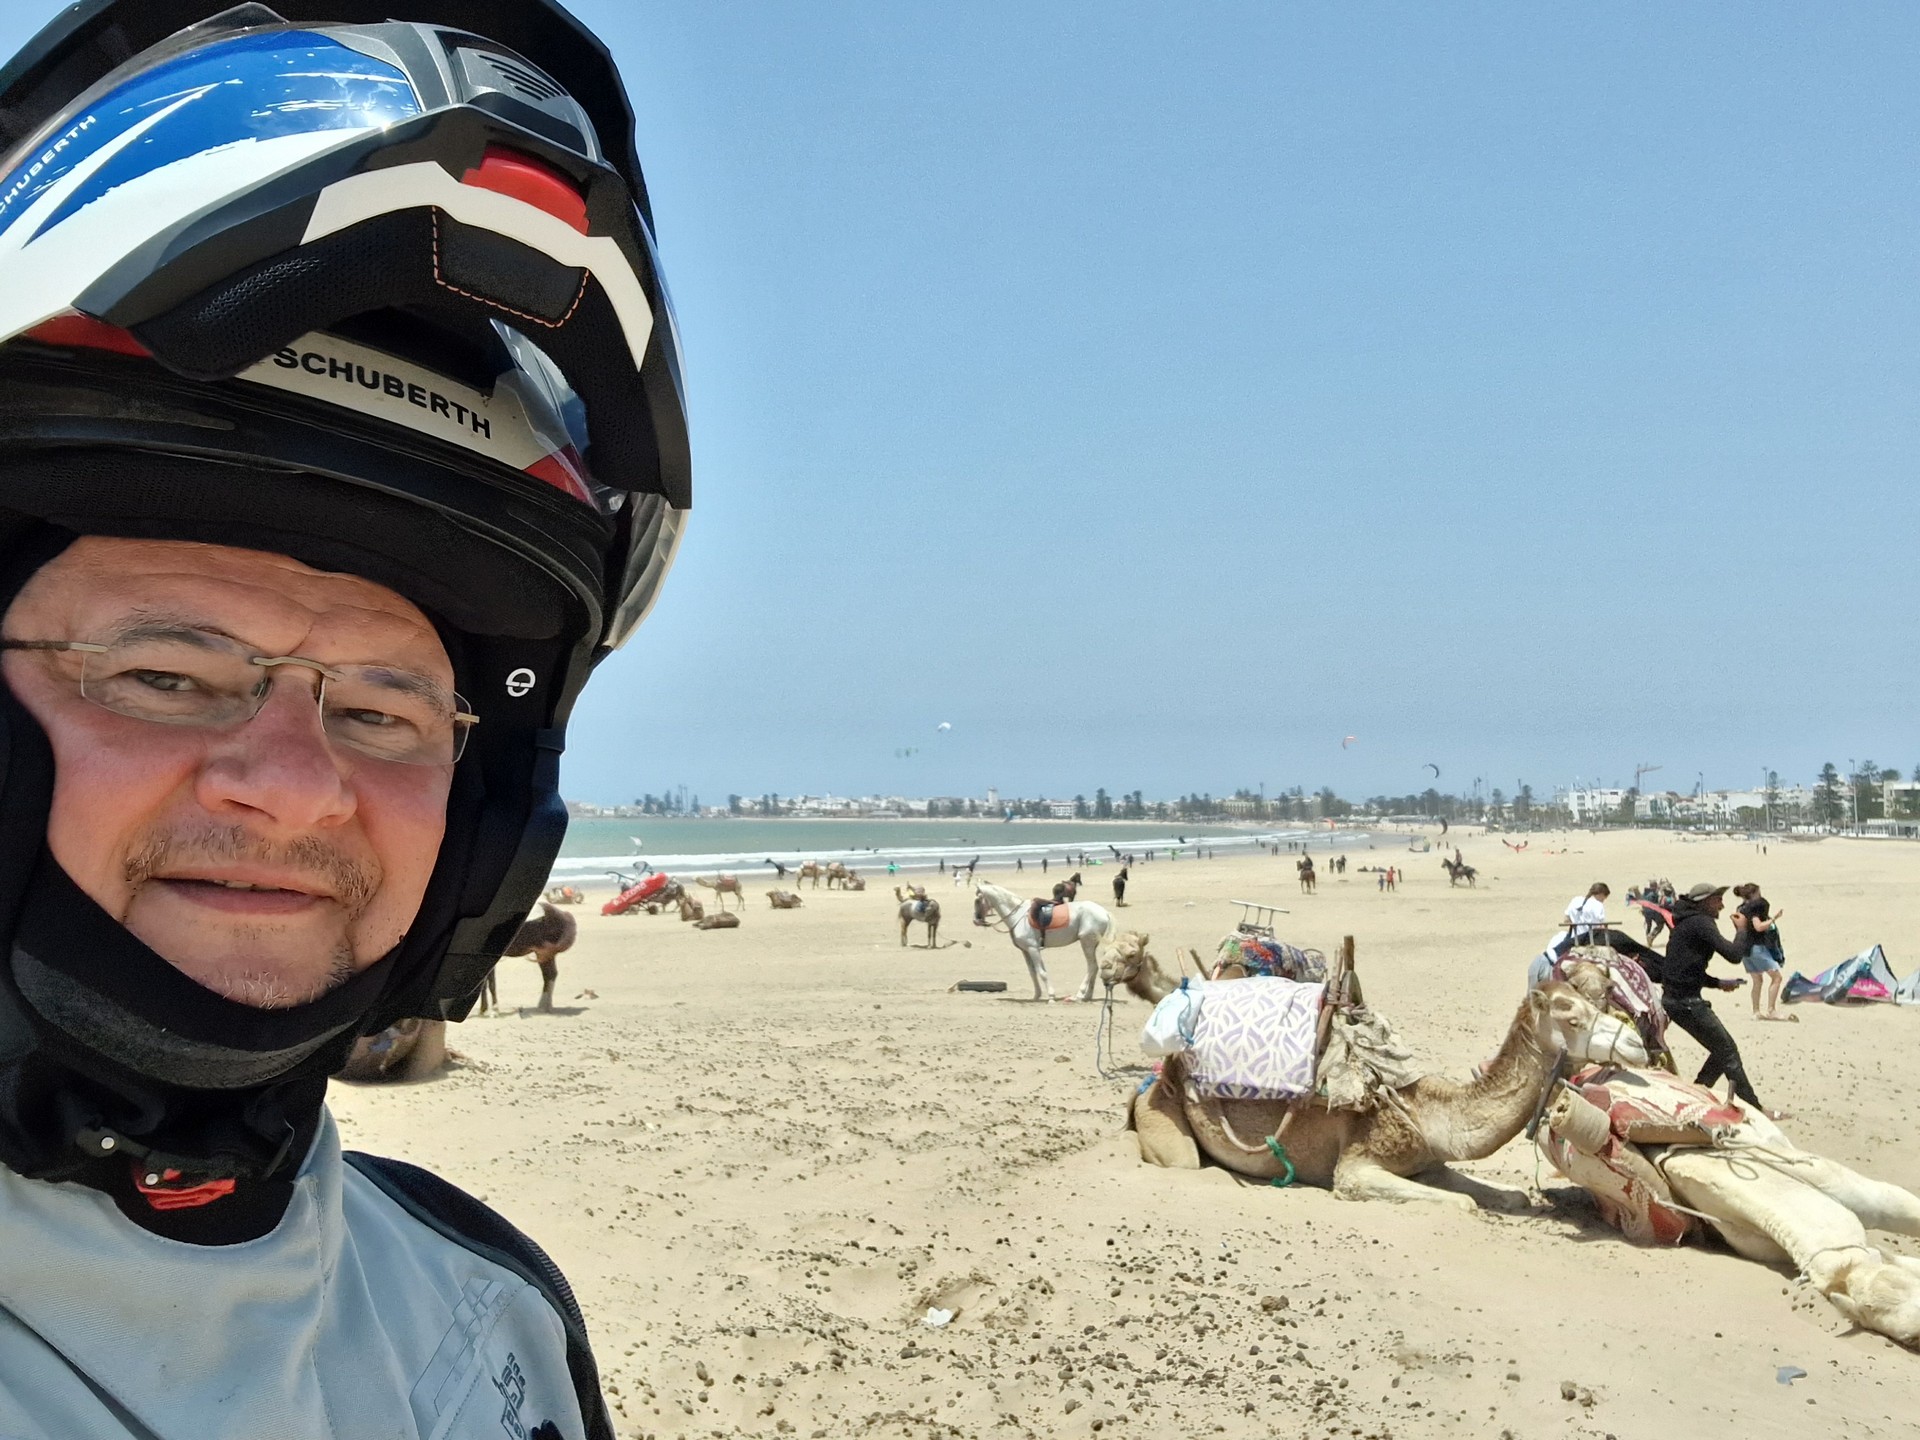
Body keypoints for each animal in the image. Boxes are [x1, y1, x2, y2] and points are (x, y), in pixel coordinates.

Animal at [972, 880, 1114, 1001]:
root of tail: (1104, 912)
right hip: (1091, 944)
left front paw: (1051, 996)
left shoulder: (1033, 949)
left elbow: (1041, 973)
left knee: (1092, 966)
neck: (1018, 915)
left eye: (978, 900)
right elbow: (1033, 972)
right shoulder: (1026, 950)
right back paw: (1087, 996)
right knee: (1095, 968)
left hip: (1086, 943)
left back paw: (1079, 995)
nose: (976, 921)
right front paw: (1036, 995)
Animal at [1132, 981, 1613, 1207]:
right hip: (1167, 1113)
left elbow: (1503, 1194)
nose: (1630, 1041)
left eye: (1596, 1001)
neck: (1423, 1106)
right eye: (1571, 1016)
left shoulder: (1428, 1161)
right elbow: (1462, 1203)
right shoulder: (1357, 1165)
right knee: (1181, 1159)